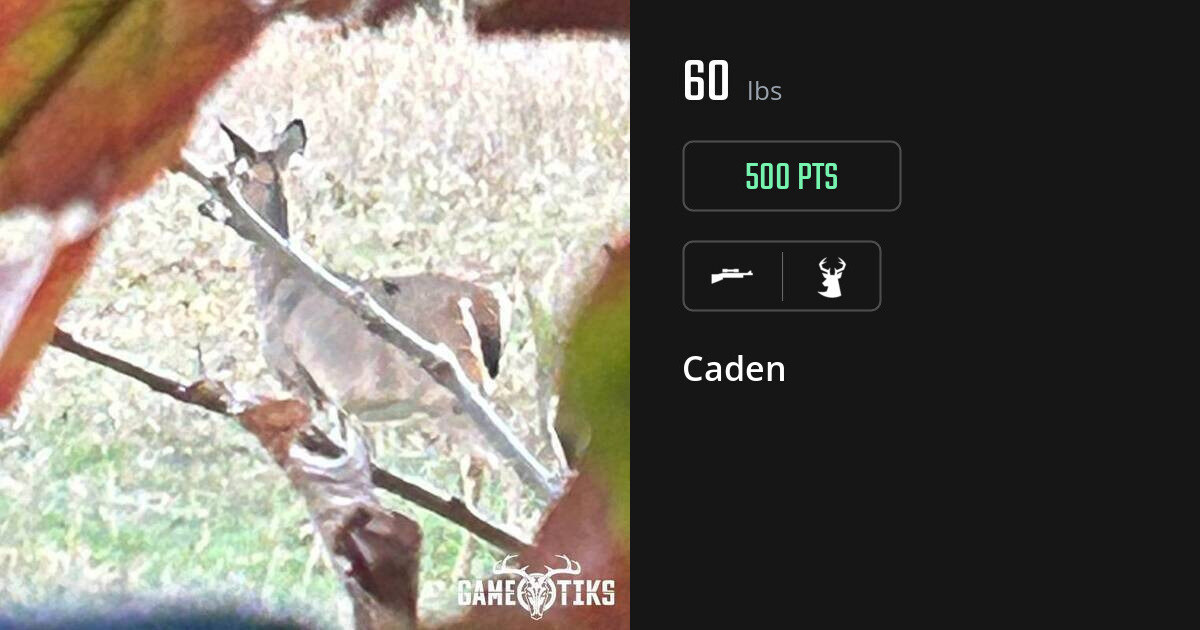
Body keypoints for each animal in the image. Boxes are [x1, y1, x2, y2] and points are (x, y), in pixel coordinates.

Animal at [215, 119, 556, 495]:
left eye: (240, 174)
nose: (207, 205)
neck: (277, 283)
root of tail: (484, 300)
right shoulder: (337, 401)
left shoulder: (295, 374)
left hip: (449, 395)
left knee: (503, 466)